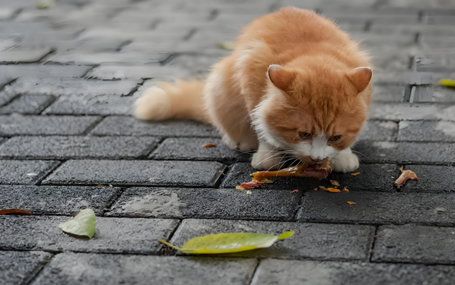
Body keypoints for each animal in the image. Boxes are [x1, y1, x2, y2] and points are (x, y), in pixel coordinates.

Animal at [134, 7, 372, 171]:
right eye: (303, 134)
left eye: (335, 137)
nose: (317, 159)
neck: (311, 52)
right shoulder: (250, 78)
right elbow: (261, 125)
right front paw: (267, 156)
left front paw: (343, 156)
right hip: (221, 81)